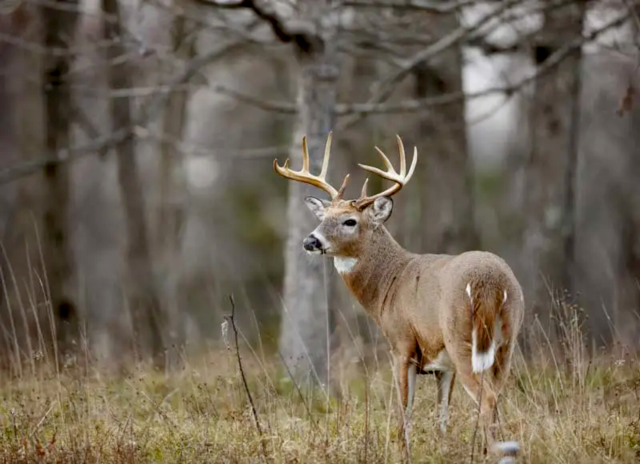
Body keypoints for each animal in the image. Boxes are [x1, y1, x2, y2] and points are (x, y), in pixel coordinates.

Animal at [273, 132, 525, 456]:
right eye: (323, 216)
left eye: (349, 221)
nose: (310, 241)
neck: (389, 283)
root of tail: (490, 282)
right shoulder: (442, 364)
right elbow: (442, 414)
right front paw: (441, 448)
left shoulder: (401, 344)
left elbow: (404, 409)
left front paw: (403, 451)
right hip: (507, 341)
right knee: (498, 395)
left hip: (462, 338)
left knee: (488, 398)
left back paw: (493, 453)